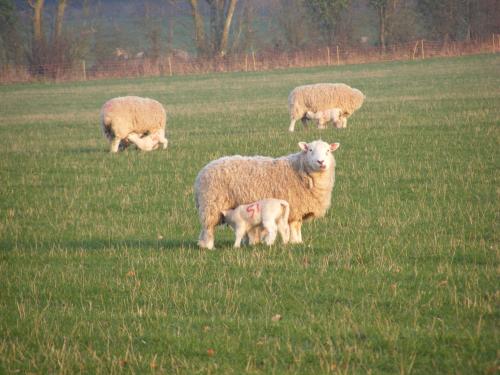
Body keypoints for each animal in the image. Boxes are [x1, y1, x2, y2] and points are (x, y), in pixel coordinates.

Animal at [194, 139, 340, 250]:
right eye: (310, 150)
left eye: (328, 151)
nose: (321, 162)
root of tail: (202, 173)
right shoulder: (294, 206)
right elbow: (294, 226)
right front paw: (295, 241)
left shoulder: (299, 208)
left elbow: (297, 226)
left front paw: (299, 242)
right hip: (211, 204)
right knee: (208, 227)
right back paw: (208, 246)